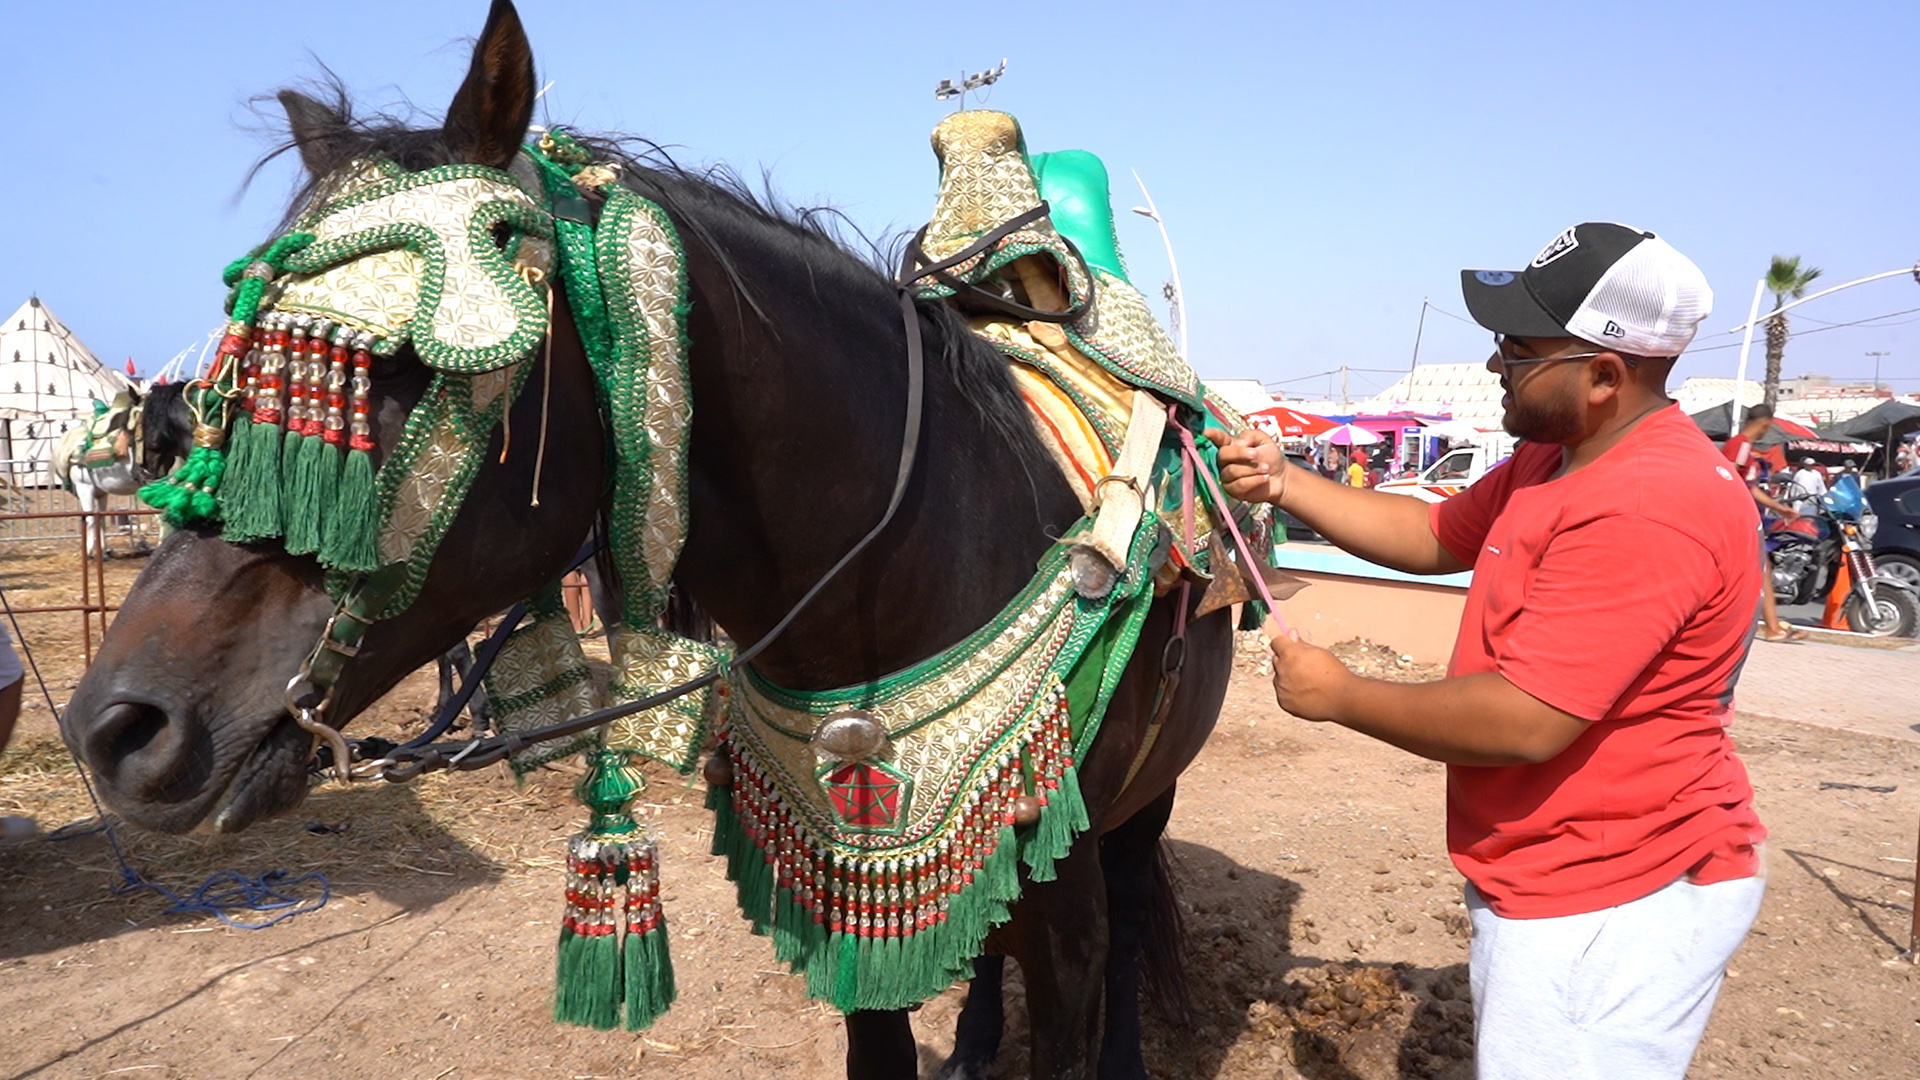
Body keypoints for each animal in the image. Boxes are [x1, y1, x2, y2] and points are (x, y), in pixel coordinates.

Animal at [60, 4, 1236, 1068]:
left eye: (392, 368)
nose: (115, 728)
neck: (913, 553)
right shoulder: (858, 908)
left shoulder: (1068, 923)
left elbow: (1091, 965)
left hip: (1144, 807)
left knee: (1135, 907)